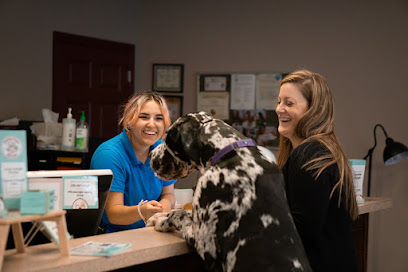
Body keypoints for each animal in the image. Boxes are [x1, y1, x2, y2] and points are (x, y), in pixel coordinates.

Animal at [147, 112, 310, 272]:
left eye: (168, 135)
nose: (151, 154)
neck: (231, 153)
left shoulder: (206, 246)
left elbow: (179, 214)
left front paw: (161, 222)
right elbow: (184, 212)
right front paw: (157, 216)